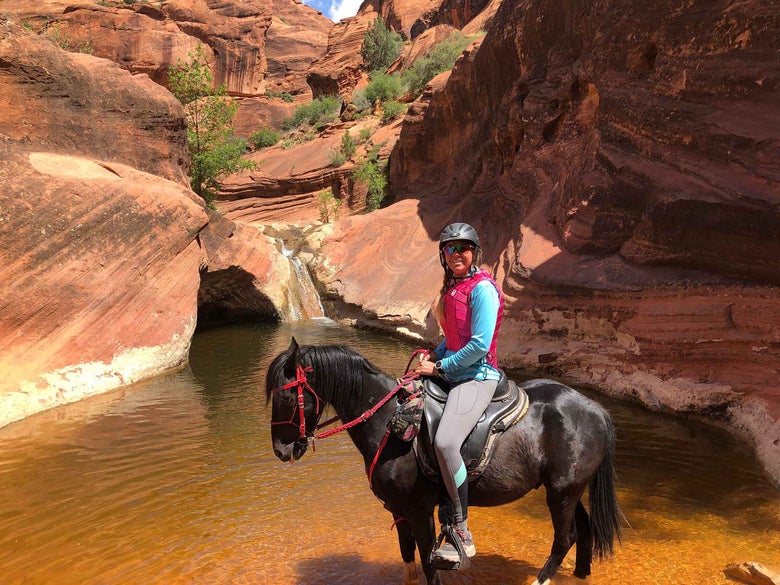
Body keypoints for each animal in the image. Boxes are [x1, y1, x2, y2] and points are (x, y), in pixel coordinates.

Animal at [266, 338, 622, 585]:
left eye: (286, 395)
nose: (281, 451)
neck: (389, 422)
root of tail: (597, 410)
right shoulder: (398, 511)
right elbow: (408, 558)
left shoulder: (419, 510)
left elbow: (427, 562)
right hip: (568, 489)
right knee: (584, 530)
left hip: (561, 492)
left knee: (565, 538)